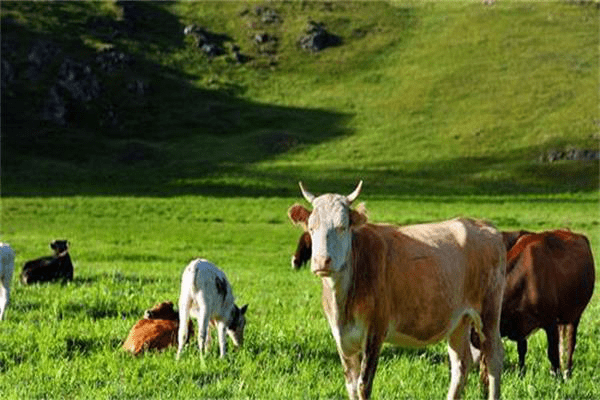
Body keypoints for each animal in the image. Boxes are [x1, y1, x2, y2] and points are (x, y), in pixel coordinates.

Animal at [288, 183, 504, 400]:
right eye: (312, 228)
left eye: (342, 227)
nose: (321, 261)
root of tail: (483, 225)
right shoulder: (342, 338)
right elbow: (351, 385)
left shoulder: (375, 330)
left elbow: (363, 385)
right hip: (458, 320)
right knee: (461, 363)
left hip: (489, 312)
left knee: (494, 357)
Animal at [500, 230, 592, 376]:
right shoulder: (520, 322)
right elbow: (522, 349)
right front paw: (521, 373)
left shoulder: (550, 322)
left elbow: (552, 353)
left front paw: (556, 376)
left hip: (575, 313)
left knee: (571, 341)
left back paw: (567, 371)